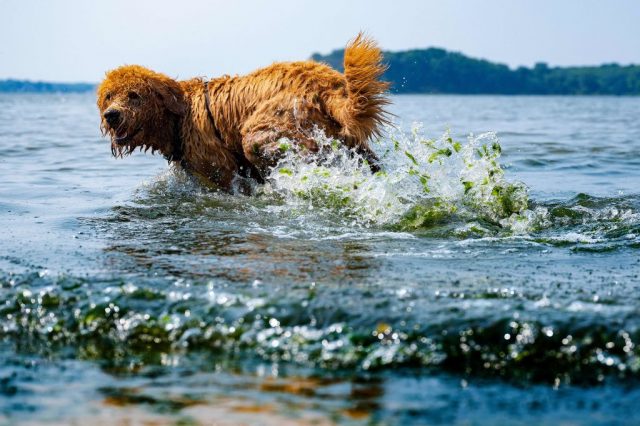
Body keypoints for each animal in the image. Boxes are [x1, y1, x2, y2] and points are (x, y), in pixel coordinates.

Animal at [97, 34, 388, 191]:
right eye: (109, 96)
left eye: (134, 95)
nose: (111, 115)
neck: (179, 118)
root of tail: (329, 84)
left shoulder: (219, 171)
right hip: (348, 140)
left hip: (266, 131)